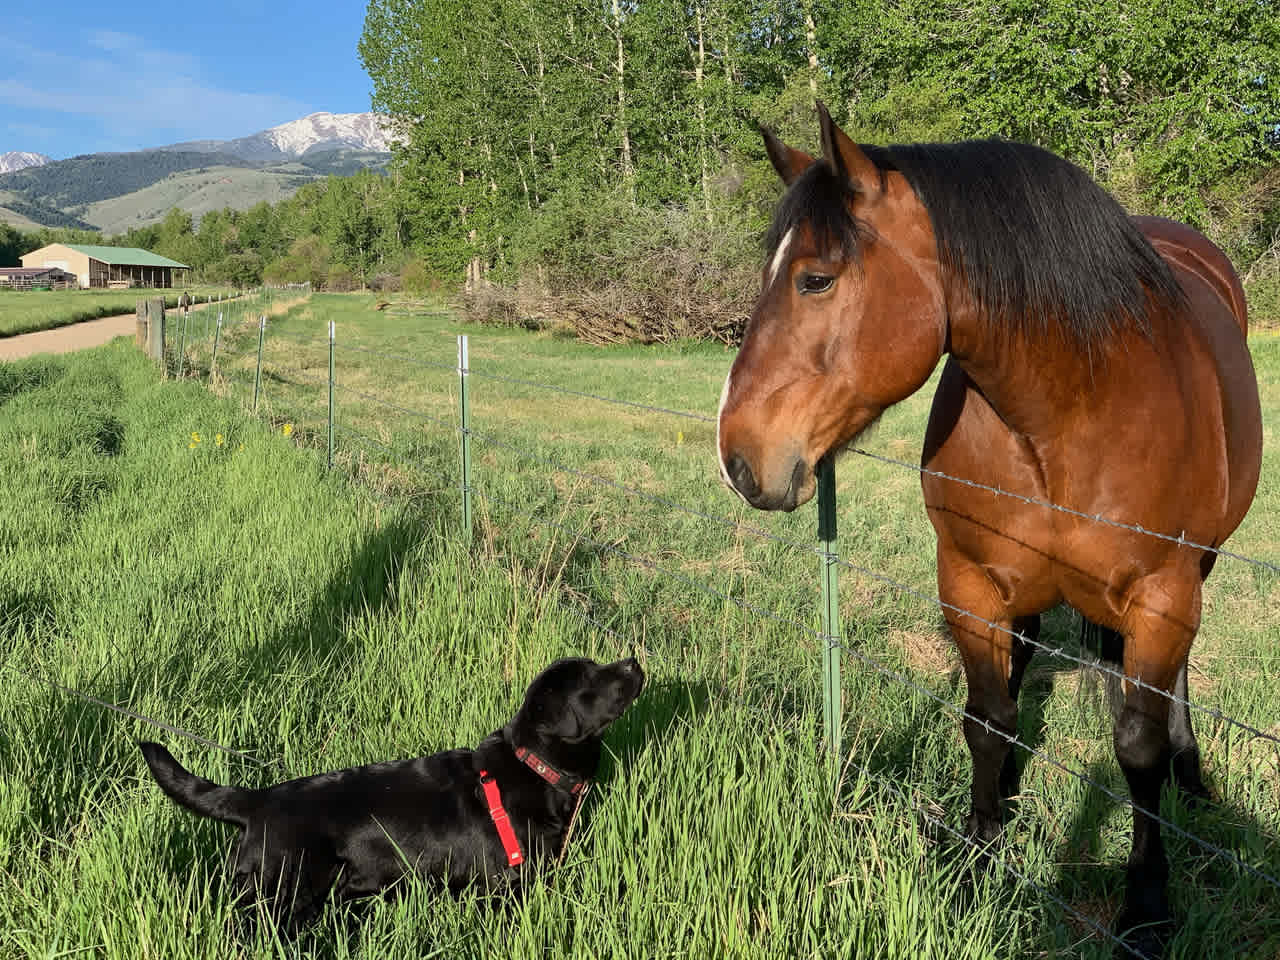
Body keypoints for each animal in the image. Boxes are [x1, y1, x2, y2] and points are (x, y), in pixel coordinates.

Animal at [140, 660, 645, 926]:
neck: (531, 764)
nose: (633, 662)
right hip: (277, 897)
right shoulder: (504, 889)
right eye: (591, 680)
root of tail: (259, 800)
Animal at [716, 104, 1264, 957]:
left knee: (1165, 687)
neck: (1072, 408)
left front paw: (1147, 905)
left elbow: (1135, 748)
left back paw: (1191, 770)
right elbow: (985, 719)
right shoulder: (968, 580)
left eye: (816, 277)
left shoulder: (1162, 595)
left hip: (1194, 573)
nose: (738, 457)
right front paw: (976, 854)